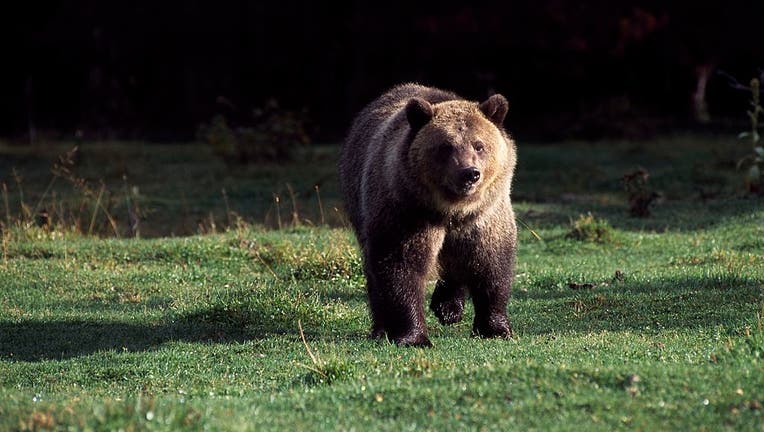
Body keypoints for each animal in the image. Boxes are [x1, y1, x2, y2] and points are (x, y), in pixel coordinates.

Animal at [340, 83, 520, 348]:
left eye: (479, 145)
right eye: (446, 146)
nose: (470, 173)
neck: (452, 209)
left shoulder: (484, 216)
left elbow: (491, 264)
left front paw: (495, 328)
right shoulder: (407, 211)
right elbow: (402, 266)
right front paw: (413, 336)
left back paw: (448, 307)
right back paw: (381, 327)